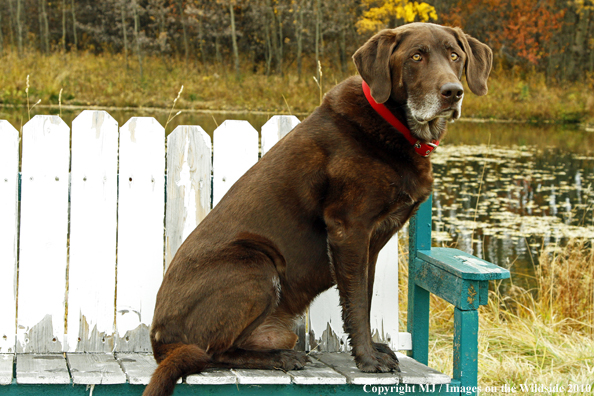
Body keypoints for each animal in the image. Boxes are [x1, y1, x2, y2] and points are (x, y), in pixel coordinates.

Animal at [143, 23, 490, 394]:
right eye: (416, 56)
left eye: (454, 55)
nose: (452, 92)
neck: (395, 127)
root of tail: (161, 342)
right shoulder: (349, 230)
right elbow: (356, 304)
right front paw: (368, 360)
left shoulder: (369, 243)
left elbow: (364, 298)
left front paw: (372, 349)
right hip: (255, 264)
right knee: (211, 353)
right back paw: (280, 358)